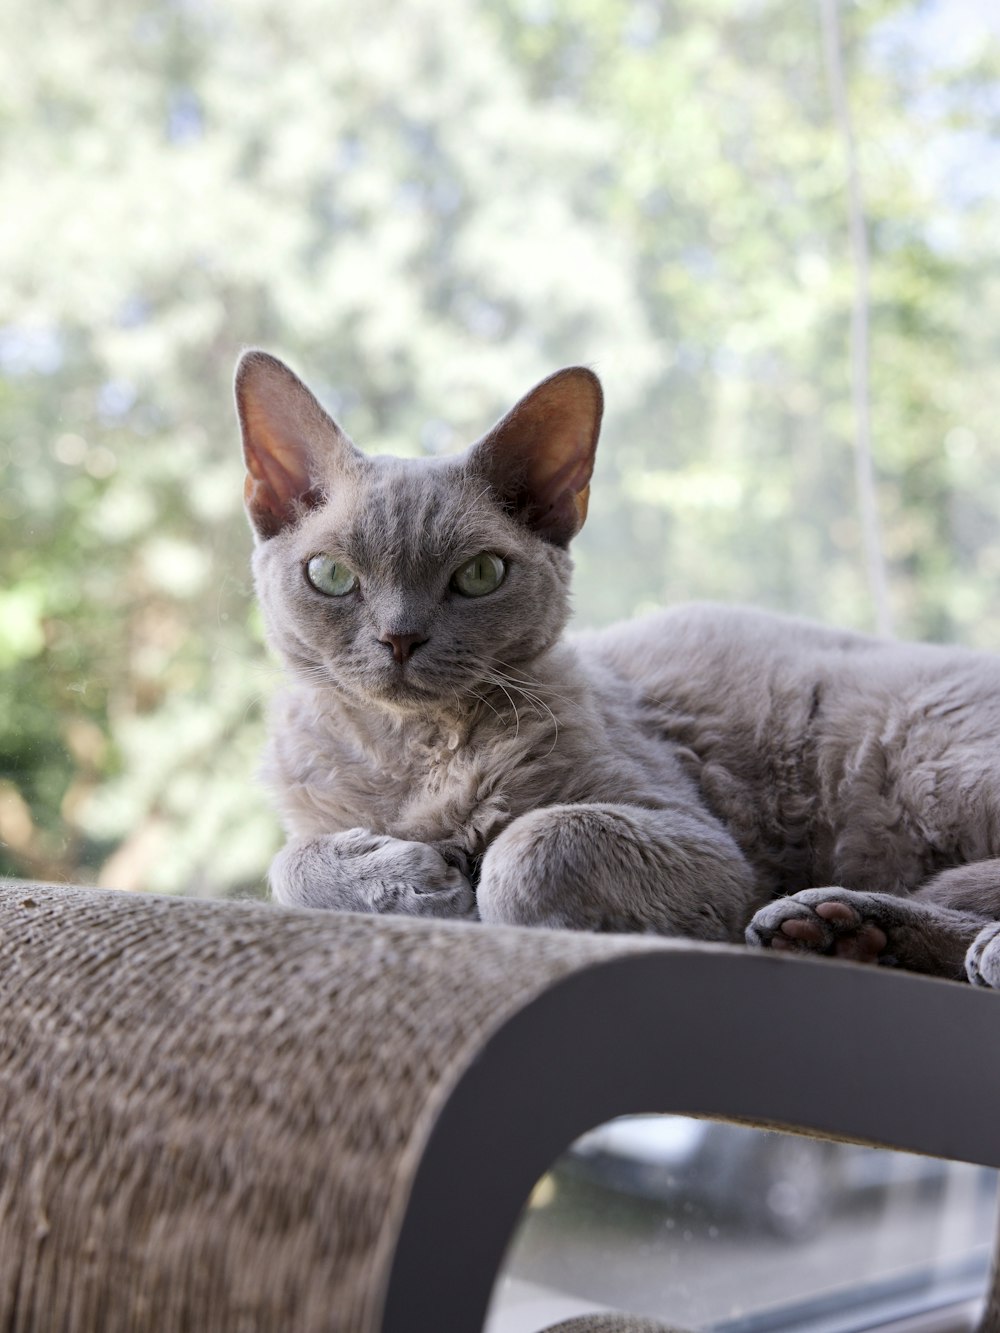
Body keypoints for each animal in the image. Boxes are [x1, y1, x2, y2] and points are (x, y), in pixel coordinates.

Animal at [237, 351, 1000, 991]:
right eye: (332, 575)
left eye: (479, 574)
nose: (399, 637)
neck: (416, 754)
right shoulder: (308, 820)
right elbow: (288, 864)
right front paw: (416, 879)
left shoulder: (708, 848)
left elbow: (530, 848)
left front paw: (480, 894)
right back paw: (841, 931)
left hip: (922, 761)